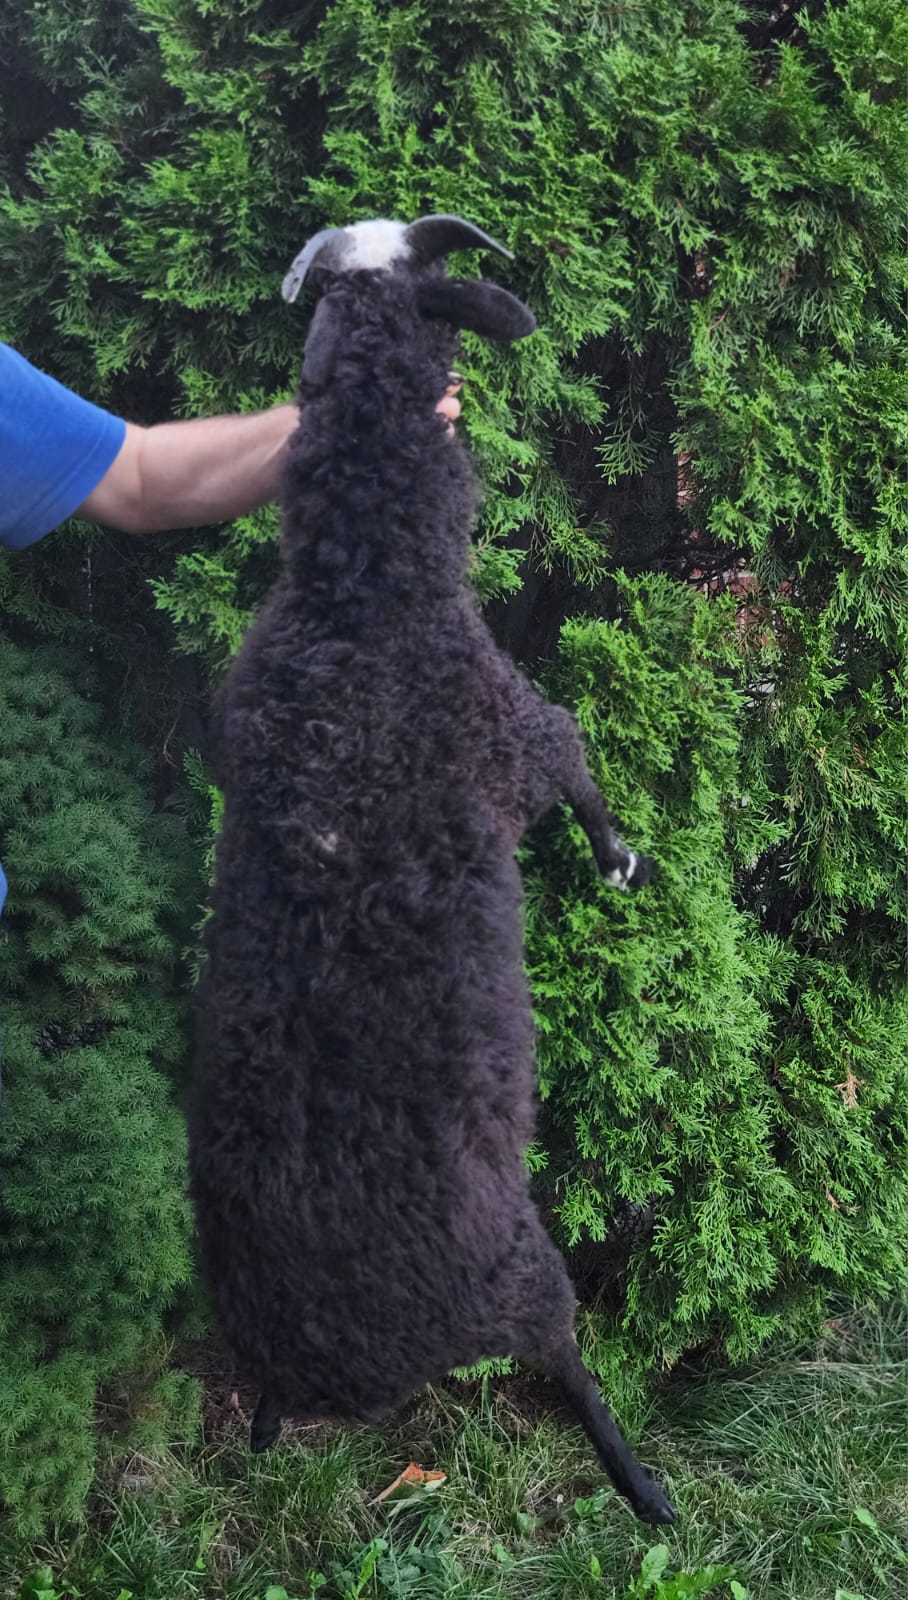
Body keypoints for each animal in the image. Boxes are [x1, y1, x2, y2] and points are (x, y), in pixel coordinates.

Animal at [189, 214, 675, 1526]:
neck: (356, 593)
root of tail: (334, 1362)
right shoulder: (518, 732)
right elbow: (579, 758)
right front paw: (618, 858)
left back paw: (263, 1428)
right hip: (525, 1276)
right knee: (565, 1359)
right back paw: (642, 1486)